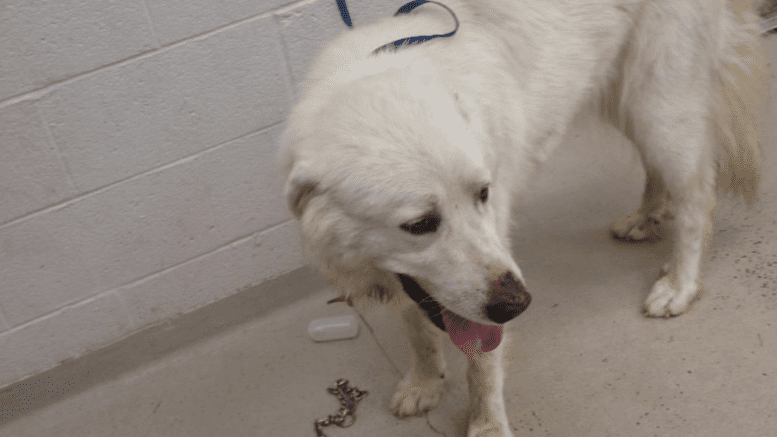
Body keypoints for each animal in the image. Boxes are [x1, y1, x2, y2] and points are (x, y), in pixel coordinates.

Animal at [278, 1, 764, 434]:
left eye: (483, 194)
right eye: (418, 225)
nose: (518, 304)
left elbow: (482, 365)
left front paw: (487, 427)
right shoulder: (409, 279)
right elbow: (419, 331)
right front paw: (425, 383)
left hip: (659, 107)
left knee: (698, 198)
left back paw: (680, 284)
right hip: (624, 100)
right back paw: (645, 217)